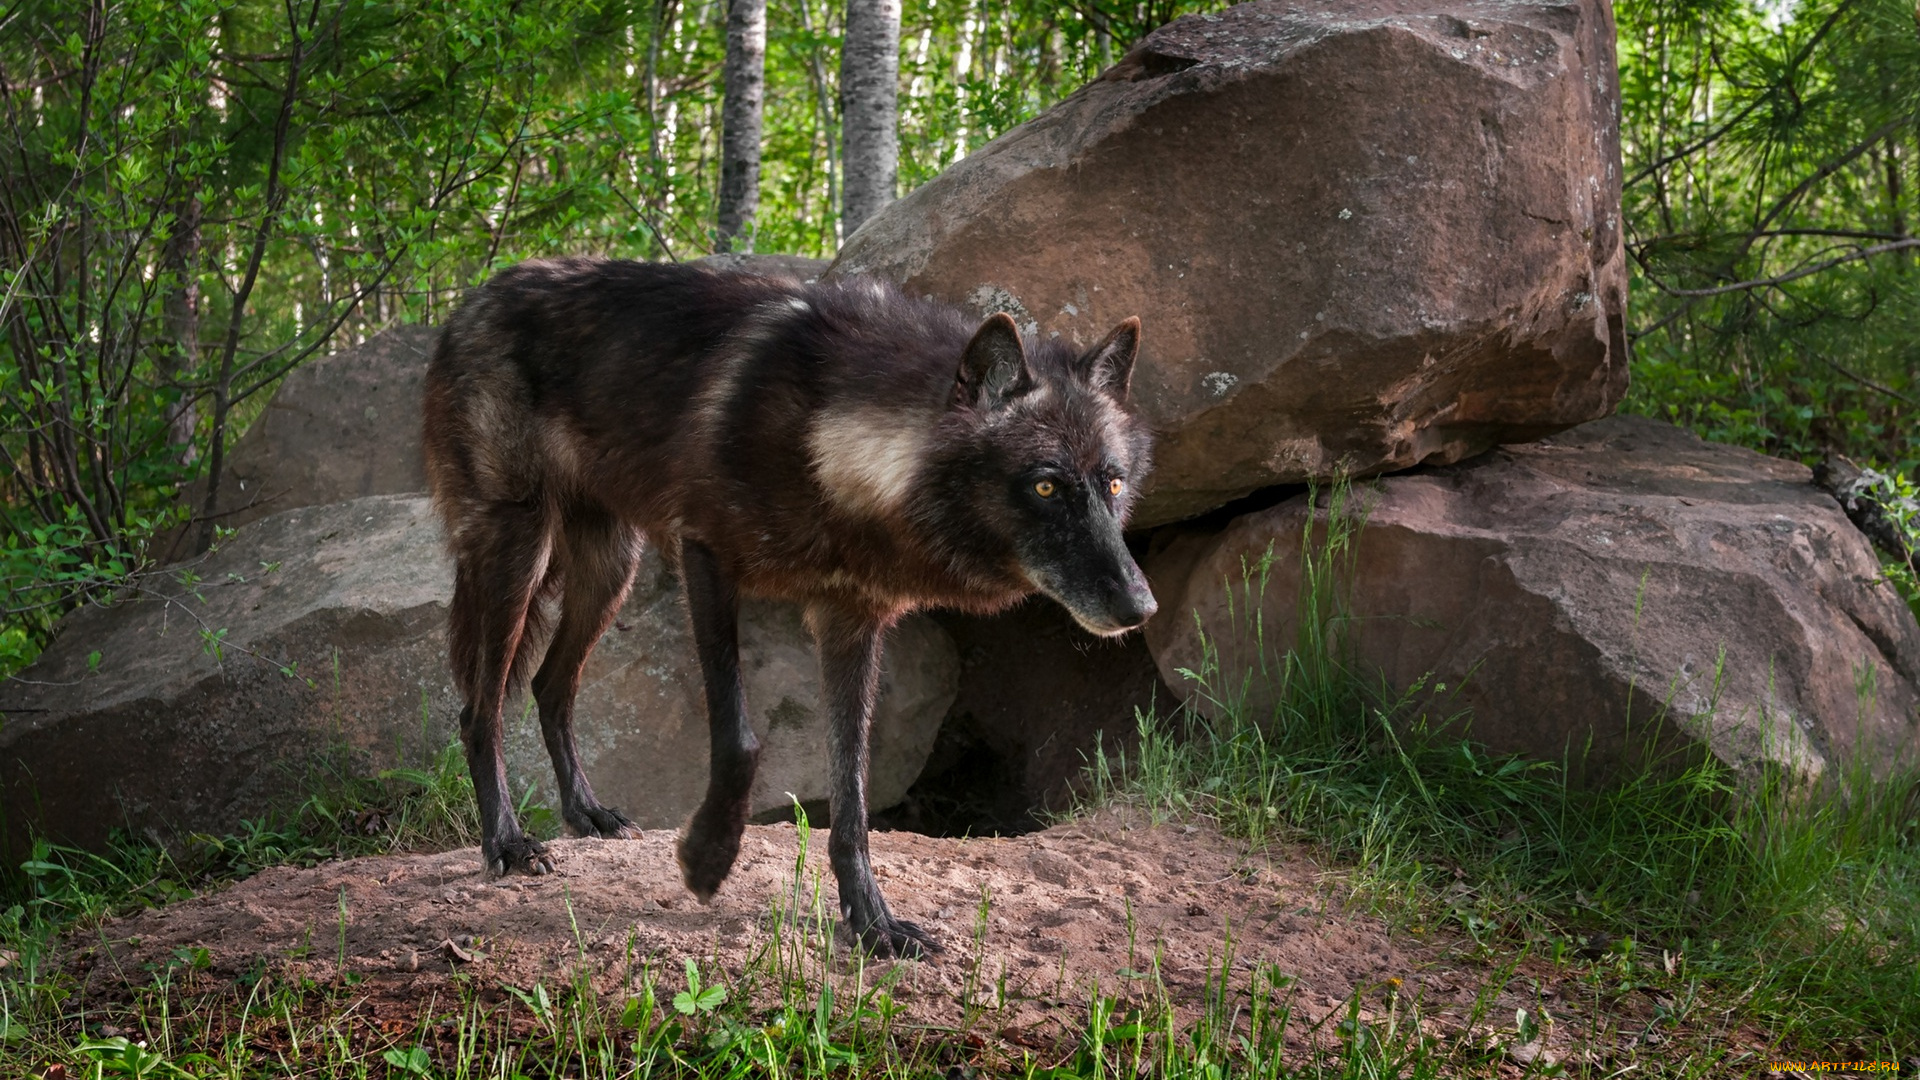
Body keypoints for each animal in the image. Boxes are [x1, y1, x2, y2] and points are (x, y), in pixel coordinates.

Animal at [420, 259, 1152, 949]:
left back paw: (586, 815)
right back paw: (507, 842)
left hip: (610, 570)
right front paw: (706, 859)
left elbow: (854, 792)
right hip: (519, 551)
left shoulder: (852, 621)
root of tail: (476, 297)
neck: (828, 448)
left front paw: (871, 921)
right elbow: (740, 740)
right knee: (479, 709)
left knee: (550, 686)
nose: (1140, 607)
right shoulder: (705, 556)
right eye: (1047, 486)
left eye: (1114, 483)